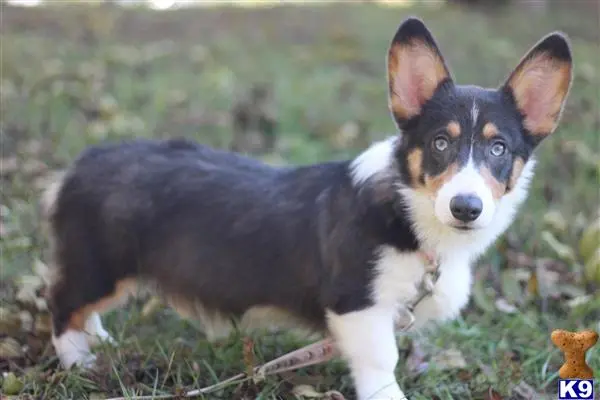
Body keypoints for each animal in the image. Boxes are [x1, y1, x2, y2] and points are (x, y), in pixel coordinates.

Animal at [41, 16, 572, 400]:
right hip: (100, 264)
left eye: (499, 148)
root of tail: (80, 165)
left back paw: (100, 341)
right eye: (441, 142)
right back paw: (81, 362)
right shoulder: (358, 306)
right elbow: (381, 363)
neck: (410, 210)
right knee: (62, 303)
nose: (466, 207)